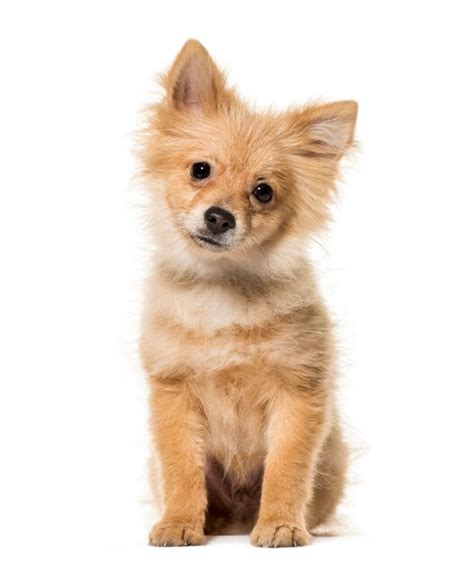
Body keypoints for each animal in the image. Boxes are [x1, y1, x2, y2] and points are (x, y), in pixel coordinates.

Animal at [139, 38, 358, 548]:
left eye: (263, 192)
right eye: (200, 170)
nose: (220, 216)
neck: (223, 290)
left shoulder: (299, 392)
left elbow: (287, 468)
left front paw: (280, 523)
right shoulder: (173, 395)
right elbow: (182, 469)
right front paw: (179, 523)